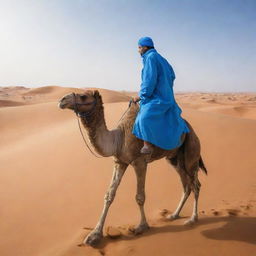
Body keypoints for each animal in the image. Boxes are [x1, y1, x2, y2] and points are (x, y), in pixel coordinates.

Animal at [58, 89, 208, 246]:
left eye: (83, 96)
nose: (62, 100)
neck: (119, 138)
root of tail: (192, 130)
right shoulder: (120, 162)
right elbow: (109, 194)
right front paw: (94, 235)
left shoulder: (139, 162)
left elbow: (139, 196)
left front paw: (142, 226)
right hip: (174, 158)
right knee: (186, 186)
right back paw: (174, 215)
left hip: (192, 152)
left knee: (196, 185)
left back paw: (192, 219)